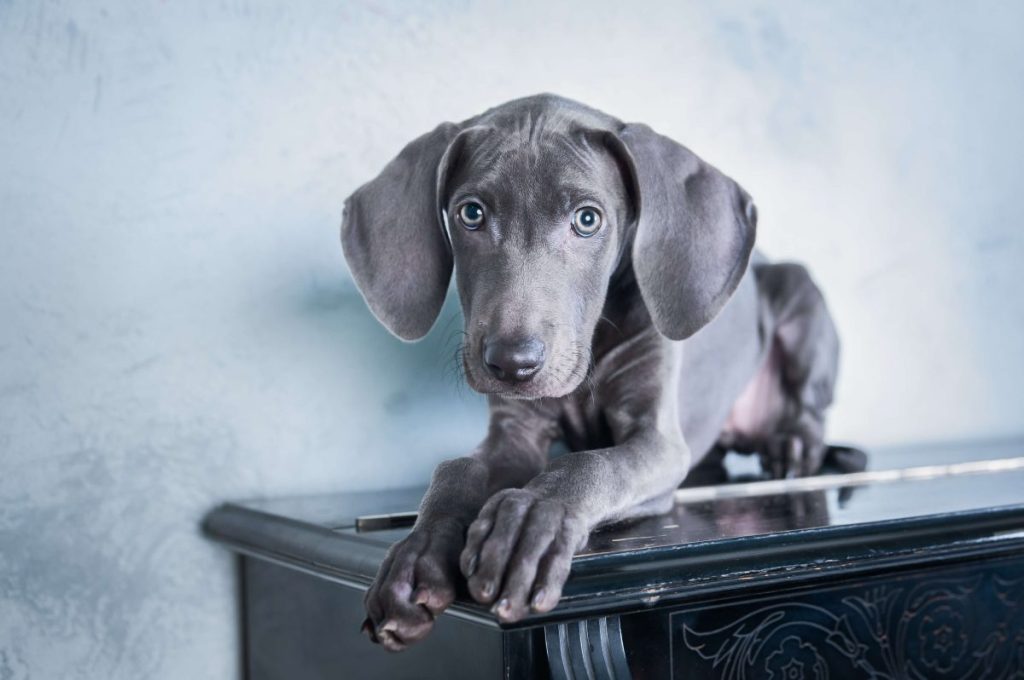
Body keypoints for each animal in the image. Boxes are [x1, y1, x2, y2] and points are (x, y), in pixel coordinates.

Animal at [339, 93, 851, 651]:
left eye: (587, 219)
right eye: (470, 212)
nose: (512, 364)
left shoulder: (658, 440)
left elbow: (591, 464)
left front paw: (529, 524)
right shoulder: (513, 433)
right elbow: (456, 470)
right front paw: (416, 556)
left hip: (800, 291)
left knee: (809, 407)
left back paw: (793, 447)